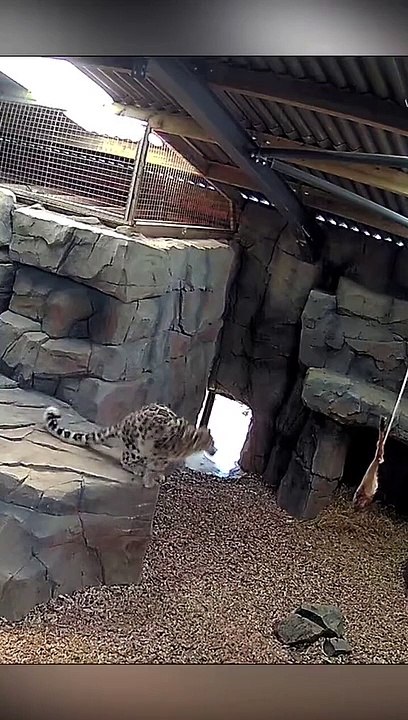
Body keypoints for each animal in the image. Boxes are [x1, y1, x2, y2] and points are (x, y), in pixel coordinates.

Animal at [43, 403, 216, 488]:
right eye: (211, 442)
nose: (215, 450)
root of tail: (126, 419)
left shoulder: (161, 457)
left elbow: (157, 467)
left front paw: (158, 476)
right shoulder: (159, 453)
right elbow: (153, 467)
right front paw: (149, 481)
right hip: (136, 447)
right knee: (125, 458)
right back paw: (135, 468)